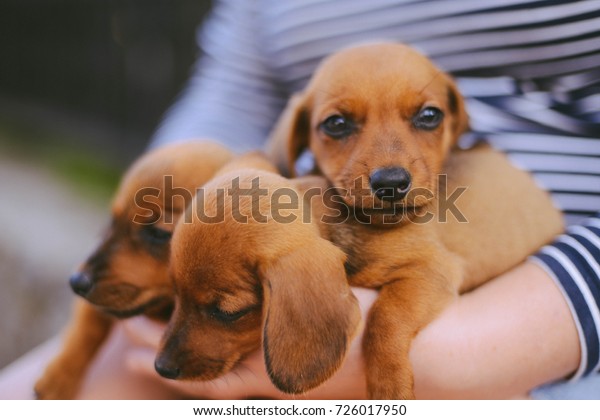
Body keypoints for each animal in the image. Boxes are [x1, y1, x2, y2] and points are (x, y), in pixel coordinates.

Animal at [266, 43, 564, 400]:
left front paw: (388, 384)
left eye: (429, 116)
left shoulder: (431, 273)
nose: (391, 183)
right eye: (336, 123)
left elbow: (385, 316)